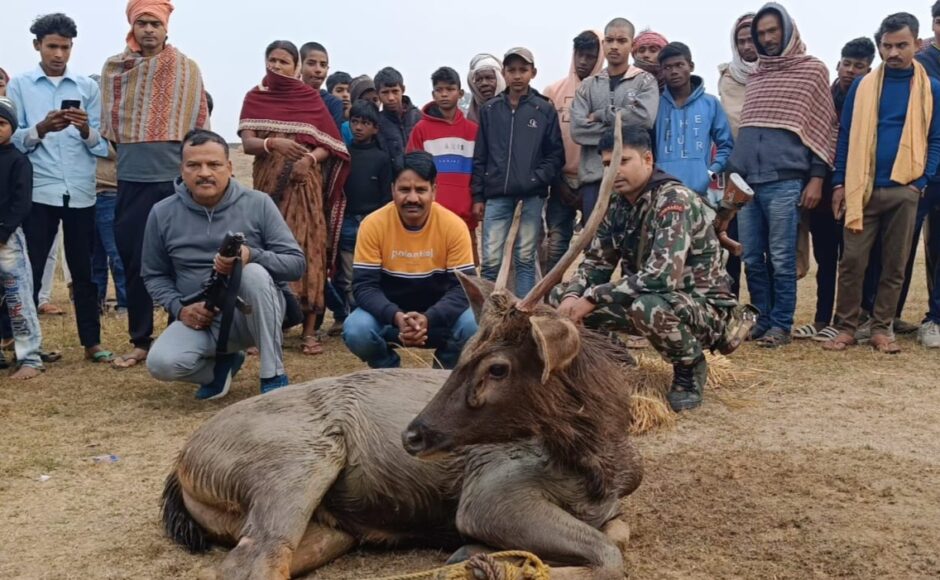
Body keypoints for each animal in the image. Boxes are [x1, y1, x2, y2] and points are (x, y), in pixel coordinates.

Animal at [165, 114, 644, 580]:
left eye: (498, 367)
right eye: (465, 356)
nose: (413, 434)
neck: (599, 467)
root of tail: (182, 463)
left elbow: (617, 535)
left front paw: (483, 555)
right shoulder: (490, 491)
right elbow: (609, 555)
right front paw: (489, 562)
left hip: (327, 527)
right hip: (294, 462)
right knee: (255, 560)